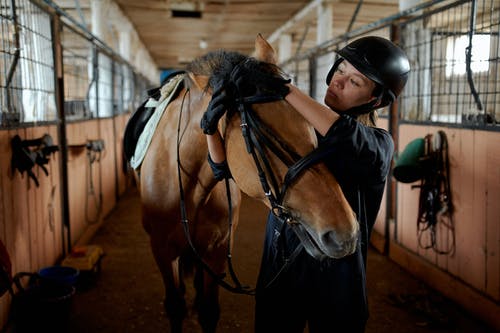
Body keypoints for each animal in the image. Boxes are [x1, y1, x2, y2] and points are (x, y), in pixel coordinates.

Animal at [129, 35, 360, 330]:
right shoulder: (162, 251)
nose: (345, 233)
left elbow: (208, 310)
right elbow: (175, 307)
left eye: (312, 126)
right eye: (260, 135)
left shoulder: (216, 250)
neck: (191, 184)